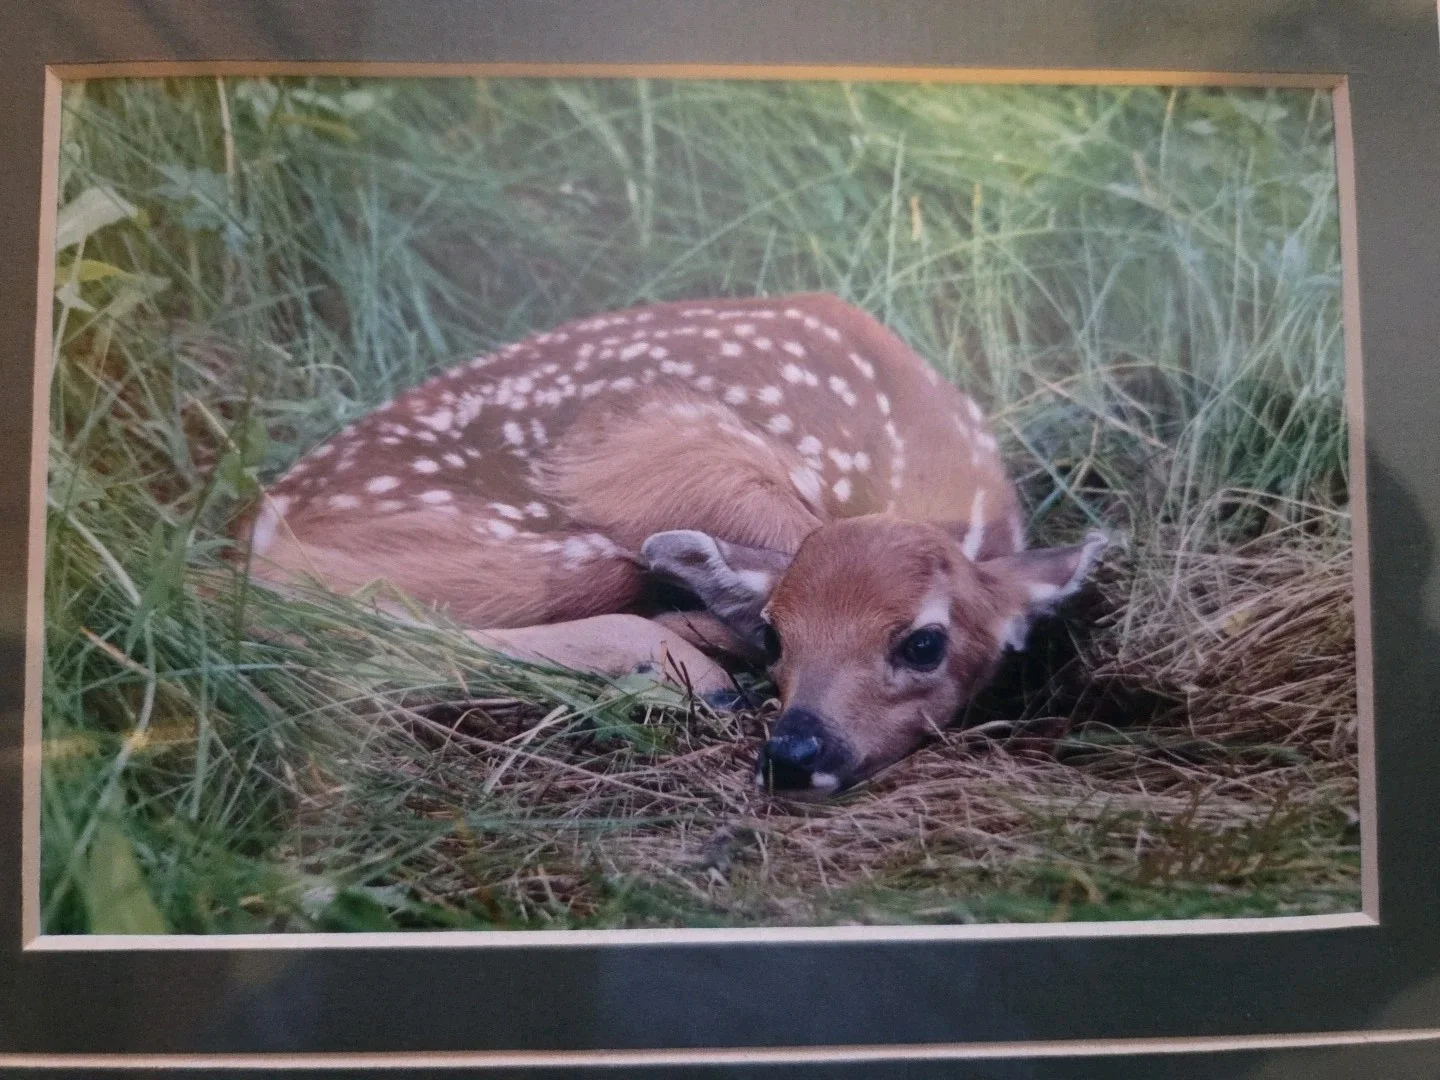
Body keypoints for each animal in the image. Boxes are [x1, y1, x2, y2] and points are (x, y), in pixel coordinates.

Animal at [243, 292, 1105, 797]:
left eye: (926, 644)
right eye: (779, 634)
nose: (793, 753)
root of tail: (260, 522)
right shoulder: (648, 438)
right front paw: (708, 641)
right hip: (537, 550)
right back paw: (683, 667)